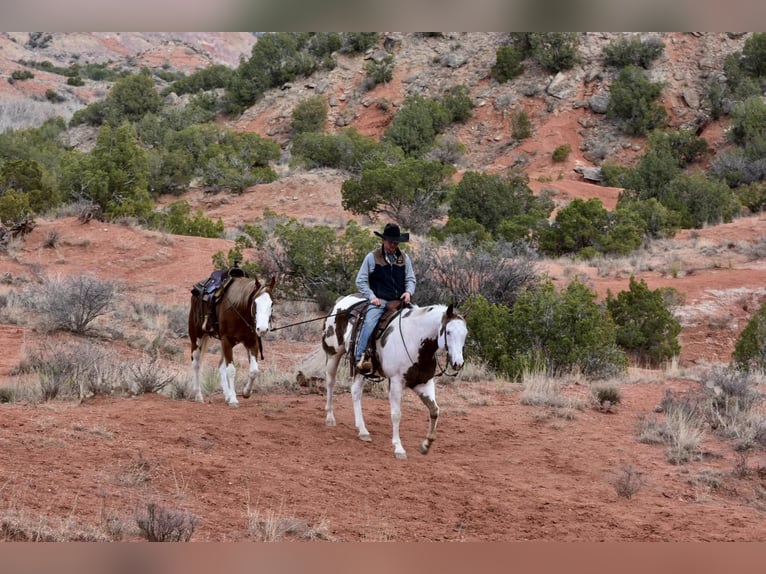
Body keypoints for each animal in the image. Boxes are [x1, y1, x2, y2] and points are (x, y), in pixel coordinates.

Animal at [189, 276, 276, 408]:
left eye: (272, 303)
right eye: (255, 302)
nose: (262, 329)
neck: (239, 308)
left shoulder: (252, 342)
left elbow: (254, 371)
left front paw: (246, 392)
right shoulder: (226, 340)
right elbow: (231, 370)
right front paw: (234, 400)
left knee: (220, 365)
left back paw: (227, 395)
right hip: (196, 337)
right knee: (196, 364)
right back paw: (198, 396)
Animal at [320, 294, 468, 462]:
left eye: (465, 333)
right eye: (448, 332)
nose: (458, 363)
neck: (415, 340)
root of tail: (342, 300)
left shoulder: (424, 383)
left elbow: (435, 410)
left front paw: (426, 445)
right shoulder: (396, 382)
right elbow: (396, 415)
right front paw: (399, 448)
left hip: (361, 368)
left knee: (355, 392)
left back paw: (362, 430)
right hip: (333, 354)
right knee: (330, 382)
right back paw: (330, 417)